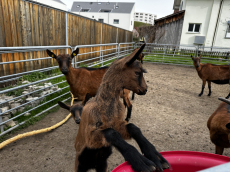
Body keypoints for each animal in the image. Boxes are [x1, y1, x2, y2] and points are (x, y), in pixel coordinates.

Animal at [74, 44, 170, 172]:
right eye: (137, 73)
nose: (145, 89)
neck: (105, 107)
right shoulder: (90, 136)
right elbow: (111, 133)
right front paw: (142, 163)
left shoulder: (117, 124)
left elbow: (133, 127)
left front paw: (156, 157)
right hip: (80, 164)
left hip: (102, 165)